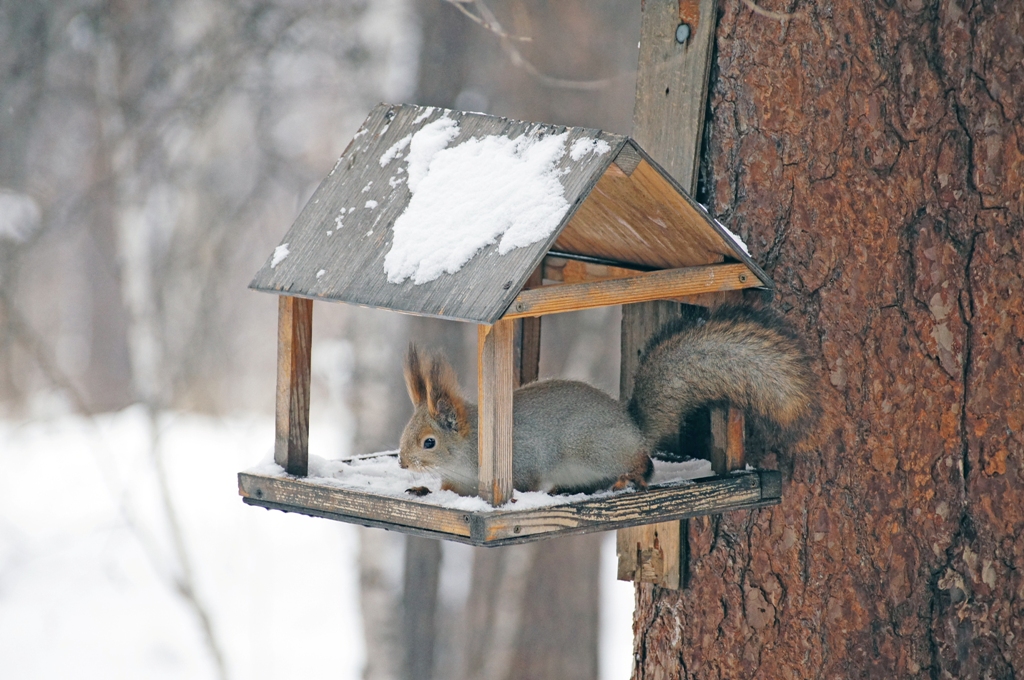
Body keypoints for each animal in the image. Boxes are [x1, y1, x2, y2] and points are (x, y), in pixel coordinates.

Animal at [397, 305, 815, 497]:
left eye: (429, 442)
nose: (401, 462)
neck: (470, 451)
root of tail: (635, 431)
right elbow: (449, 491)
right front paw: (423, 491)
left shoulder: (523, 460)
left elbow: (528, 483)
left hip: (593, 447)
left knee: (644, 466)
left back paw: (625, 477)